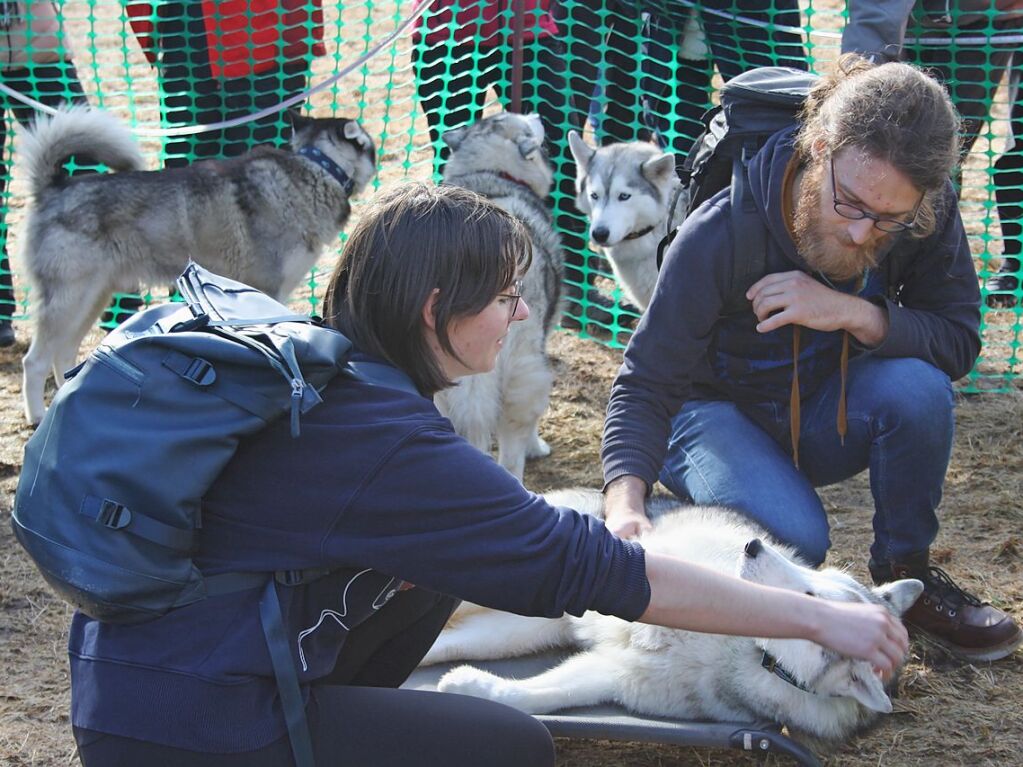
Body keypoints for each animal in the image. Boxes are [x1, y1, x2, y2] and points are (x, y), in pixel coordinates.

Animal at [18, 106, 380, 427]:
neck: (316, 168)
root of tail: (55, 187)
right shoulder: (267, 288)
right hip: (71, 299)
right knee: (35, 361)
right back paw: (38, 417)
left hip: (93, 297)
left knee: (63, 354)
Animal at [419, 488, 924, 748]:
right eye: (812, 577)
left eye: (809, 593)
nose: (753, 546)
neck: (753, 651)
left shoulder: (615, 675)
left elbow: (540, 695)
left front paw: (476, 688)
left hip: (529, 624)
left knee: (449, 642)